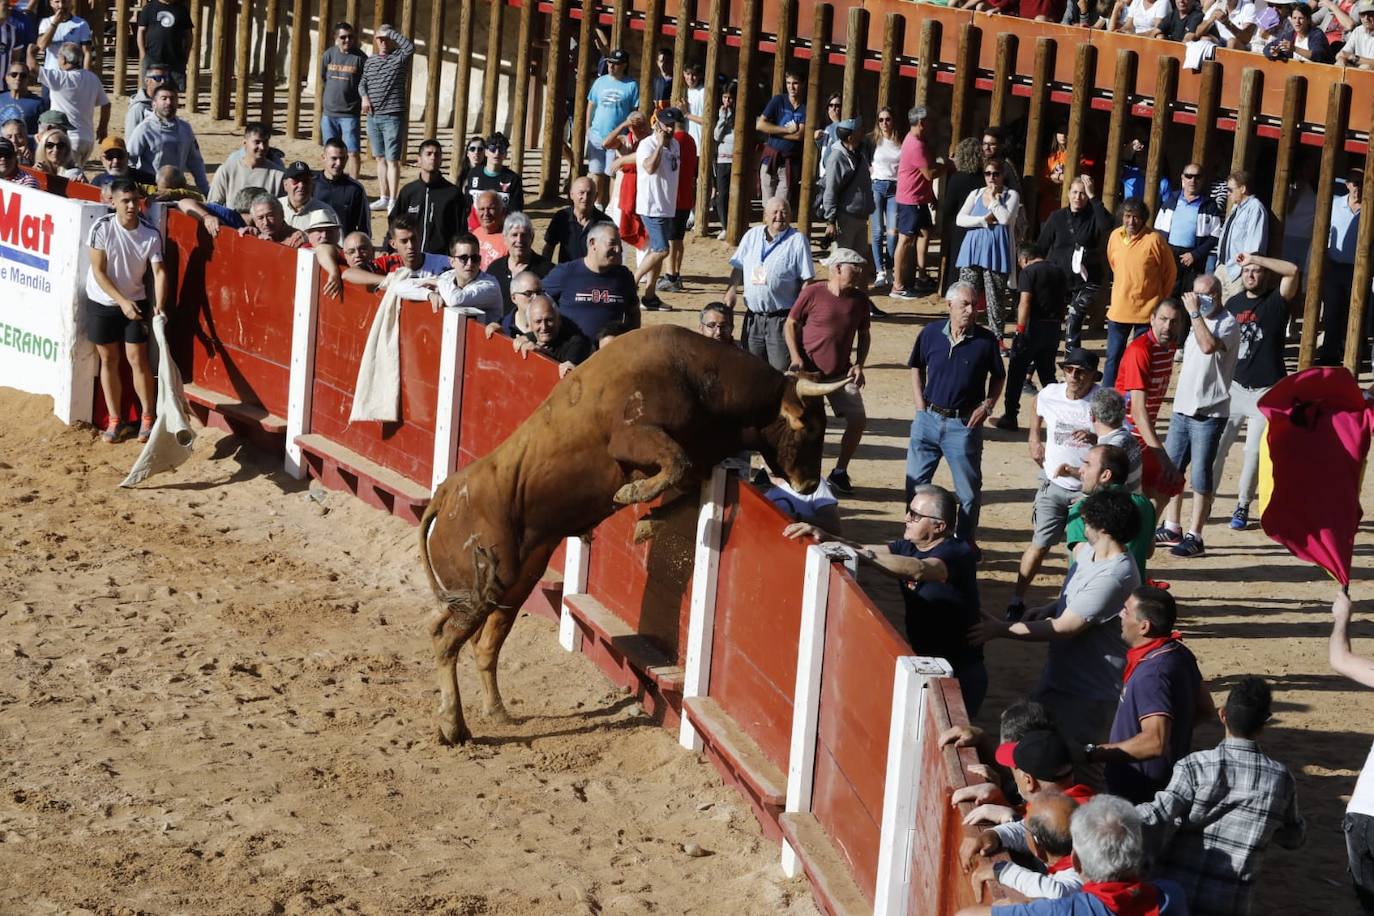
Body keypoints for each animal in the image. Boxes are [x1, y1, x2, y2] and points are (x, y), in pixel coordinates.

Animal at [414, 325, 846, 741]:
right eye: (810, 425)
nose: (809, 485)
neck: (699, 378)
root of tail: (446, 493)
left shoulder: (699, 464)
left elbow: (686, 483)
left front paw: (646, 522)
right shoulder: (633, 438)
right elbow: (676, 462)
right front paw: (631, 495)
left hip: (513, 582)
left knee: (477, 639)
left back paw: (497, 712)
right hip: (486, 581)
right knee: (445, 640)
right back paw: (453, 725)